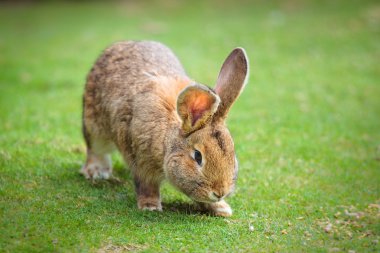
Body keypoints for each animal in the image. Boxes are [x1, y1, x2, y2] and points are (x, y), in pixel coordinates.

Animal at [80, 40, 248, 216]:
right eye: (197, 156)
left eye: (232, 154)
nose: (220, 192)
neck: (166, 140)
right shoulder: (141, 161)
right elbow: (147, 185)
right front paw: (150, 206)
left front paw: (221, 209)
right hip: (94, 125)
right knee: (95, 149)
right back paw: (96, 171)